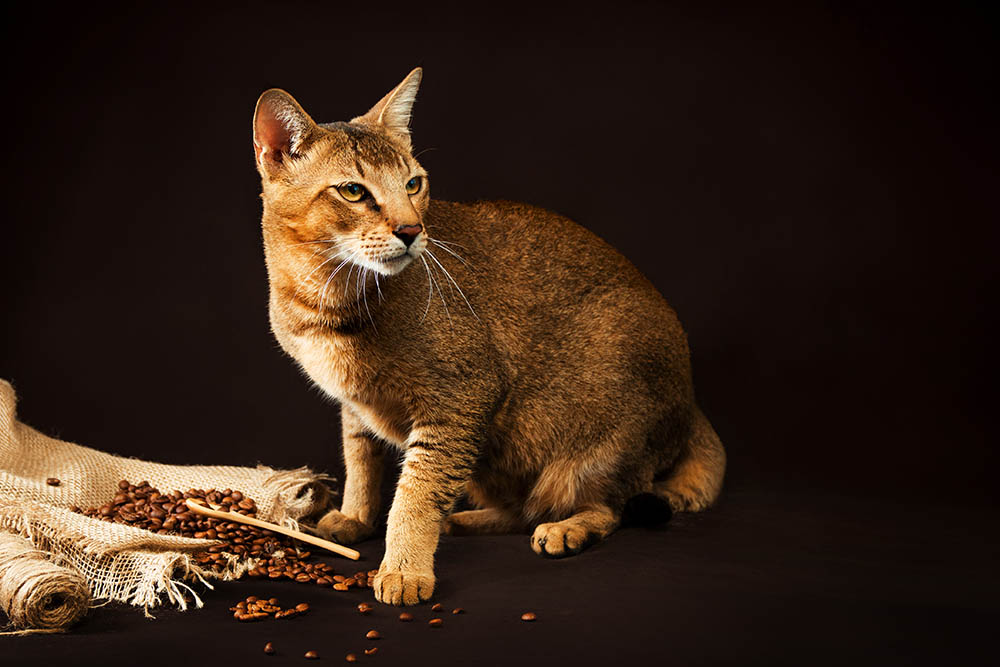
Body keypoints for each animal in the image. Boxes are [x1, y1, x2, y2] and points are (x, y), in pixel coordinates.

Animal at [254, 70, 728, 608]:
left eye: (413, 184)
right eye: (353, 191)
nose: (412, 230)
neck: (322, 301)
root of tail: (694, 405)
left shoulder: (462, 397)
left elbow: (415, 494)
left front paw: (404, 569)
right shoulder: (355, 404)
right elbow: (361, 460)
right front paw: (355, 518)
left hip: (596, 442)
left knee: (608, 505)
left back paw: (566, 529)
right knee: (521, 509)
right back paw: (465, 520)